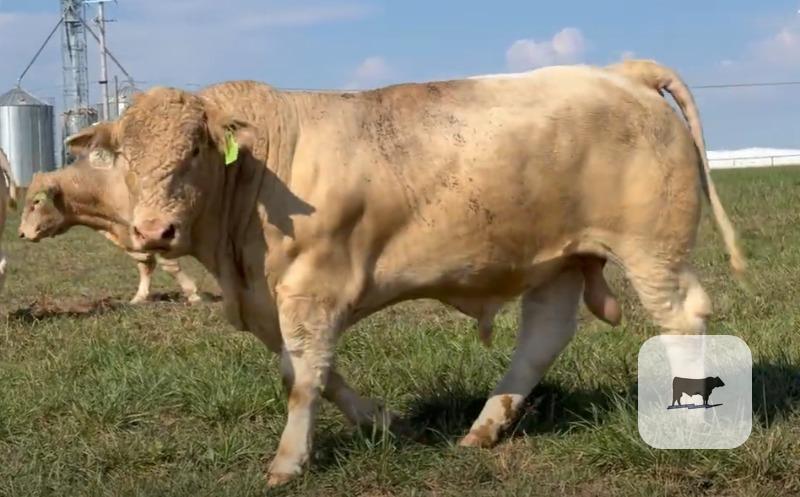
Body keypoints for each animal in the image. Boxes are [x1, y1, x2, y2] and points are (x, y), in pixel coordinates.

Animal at [18, 155, 203, 304]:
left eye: (37, 201)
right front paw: (139, 297)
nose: (21, 233)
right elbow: (145, 265)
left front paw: (193, 294)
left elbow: (168, 264)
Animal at [63, 59, 745, 485]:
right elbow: (306, 371)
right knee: (543, 338)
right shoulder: (273, 299)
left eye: (196, 148)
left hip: (652, 249)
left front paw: (288, 462)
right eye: (124, 157)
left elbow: (304, 378)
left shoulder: (312, 288)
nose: (154, 233)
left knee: (682, 318)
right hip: (557, 261)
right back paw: (483, 429)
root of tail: (623, 71)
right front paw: (385, 422)